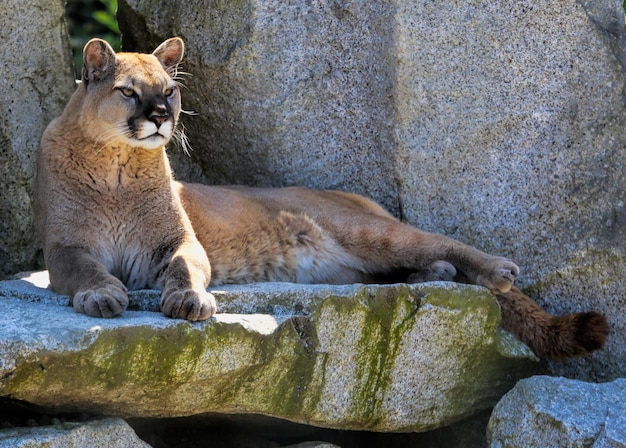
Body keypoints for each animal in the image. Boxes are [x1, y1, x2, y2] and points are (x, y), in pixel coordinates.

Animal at [33, 37, 604, 360]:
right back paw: (434, 274)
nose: (159, 116)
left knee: (437, 240)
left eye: (168, 91)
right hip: (356, 265)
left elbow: (183, 268)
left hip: (369, 232)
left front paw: (190, 300)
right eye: (129, 92)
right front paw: (101, 295)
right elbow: (87, 270)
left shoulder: (177, 242)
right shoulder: (64, 248)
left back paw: (491, 270)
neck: (118, 168)